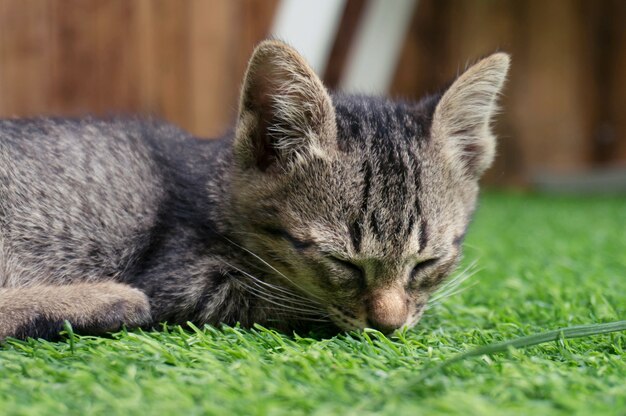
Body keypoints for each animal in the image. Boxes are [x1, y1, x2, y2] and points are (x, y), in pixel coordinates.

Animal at [0, 39, 508, 342]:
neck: (216, 183)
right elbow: (290, 302)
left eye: (427, 262)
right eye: (341, 262)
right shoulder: (183, 277)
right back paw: (104, 302)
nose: (388, 325)